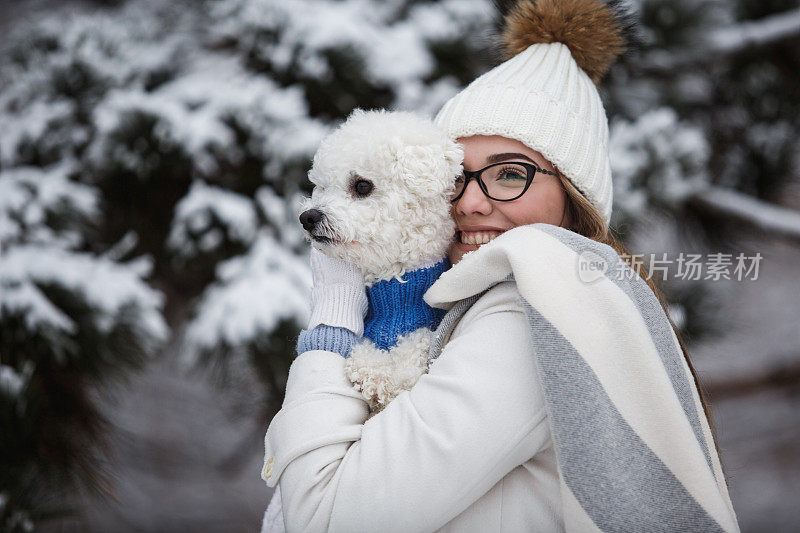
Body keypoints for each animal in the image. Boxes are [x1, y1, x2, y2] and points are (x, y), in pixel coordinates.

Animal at [300, 110, 462, 412]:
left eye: (362, 186)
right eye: (322, 187)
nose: (308, 217)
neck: (395, 281)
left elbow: (412, 357)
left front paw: (380, 373)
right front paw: (372, 367)